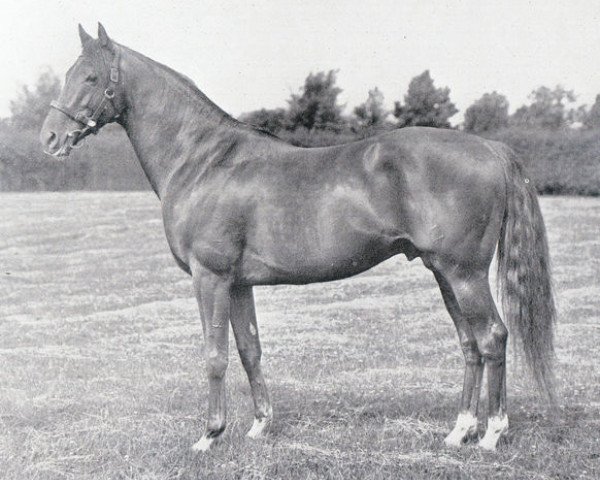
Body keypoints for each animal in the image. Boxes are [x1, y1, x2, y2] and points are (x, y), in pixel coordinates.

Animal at [39, 24, 556, 452]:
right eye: (69, 74)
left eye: (90, 78)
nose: (49, 139)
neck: (204, 160)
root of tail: (492, 148)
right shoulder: (238, 283)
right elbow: (249, 350)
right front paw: (259, 426)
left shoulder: (210, 277)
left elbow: (214, 355)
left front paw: (210, 435)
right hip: (445, 274)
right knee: (469, 343)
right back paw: (460, 430)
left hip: (464, 274)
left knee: (492, 337)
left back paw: (491, 434)